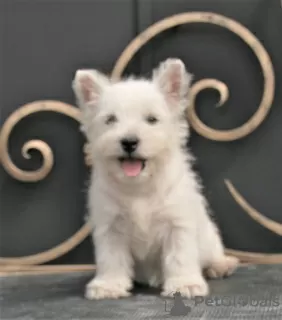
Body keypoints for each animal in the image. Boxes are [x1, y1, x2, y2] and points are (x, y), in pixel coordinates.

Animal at [72, 58, 238, 300]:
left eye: (151, 119)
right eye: (110, 120)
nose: (129, 142)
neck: (140, 186)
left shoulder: (177, 223)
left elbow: (180, 255)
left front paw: (184, 284)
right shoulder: (110, 227)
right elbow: (111, 257)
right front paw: (109, 285)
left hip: (209, 237)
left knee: (212, 254)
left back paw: (221, 266)